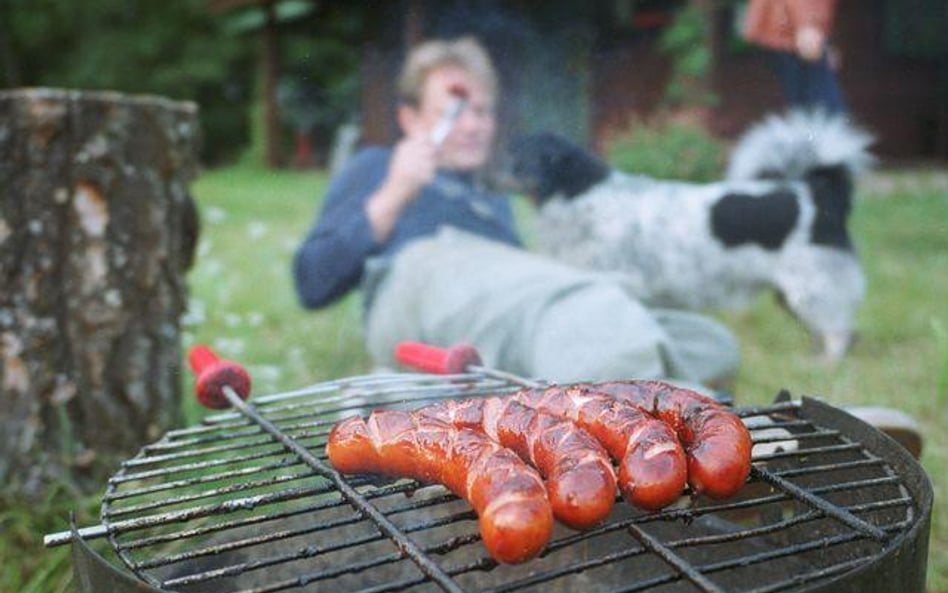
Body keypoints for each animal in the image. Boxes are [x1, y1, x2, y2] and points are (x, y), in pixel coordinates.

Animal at [504, 111, 872, 360]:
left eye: (515, 159)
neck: (578, 194)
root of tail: (819, 192)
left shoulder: (625, 284)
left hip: (813, 288)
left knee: (840, 333)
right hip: (797, 294)